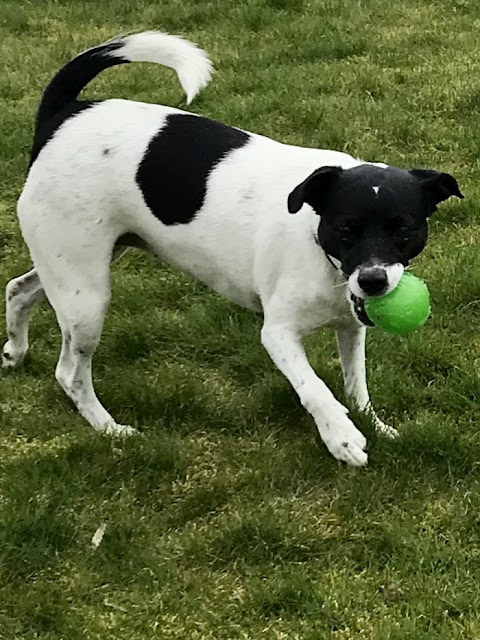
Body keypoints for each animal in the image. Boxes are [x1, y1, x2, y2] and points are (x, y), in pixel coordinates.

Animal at [2, 32, 462, 464]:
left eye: (404, 230)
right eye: (346, 229)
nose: (373, 280)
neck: (322, 252)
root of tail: (64, 114)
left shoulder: (350, 326)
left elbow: (356, 386)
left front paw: (375, 425)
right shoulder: (278, 334)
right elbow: (315, 388)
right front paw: (341, 437)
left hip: (76, 265)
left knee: (19, 289)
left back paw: (15, 351)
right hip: (86, 295)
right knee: (70, 373)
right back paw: (109, 428)